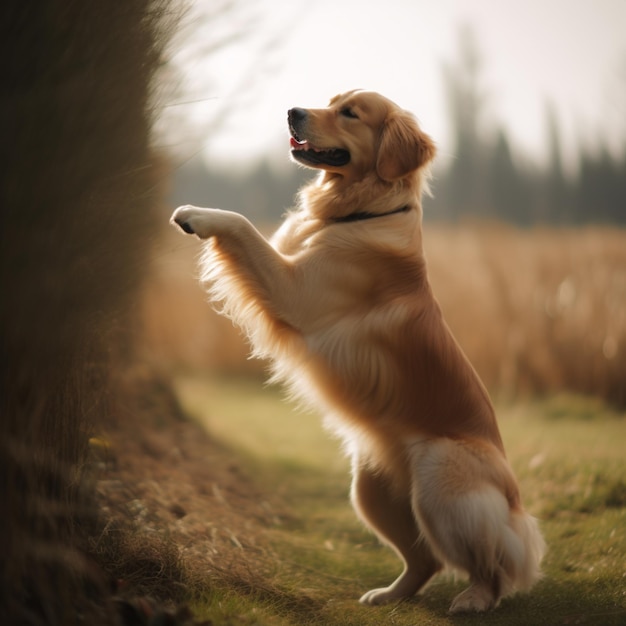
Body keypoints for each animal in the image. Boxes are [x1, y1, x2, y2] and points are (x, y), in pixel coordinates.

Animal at [169, 88, 540, 608]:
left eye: (350, 113)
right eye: (330, 101)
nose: (292, 112)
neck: (361, 212)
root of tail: (515, 507)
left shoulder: (295, 290)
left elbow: (242, 225)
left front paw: (197, 215)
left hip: (441, 478)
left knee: (491, 563)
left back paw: (476, 598)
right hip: (369, 490)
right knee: (426, 559)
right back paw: (389, 594)